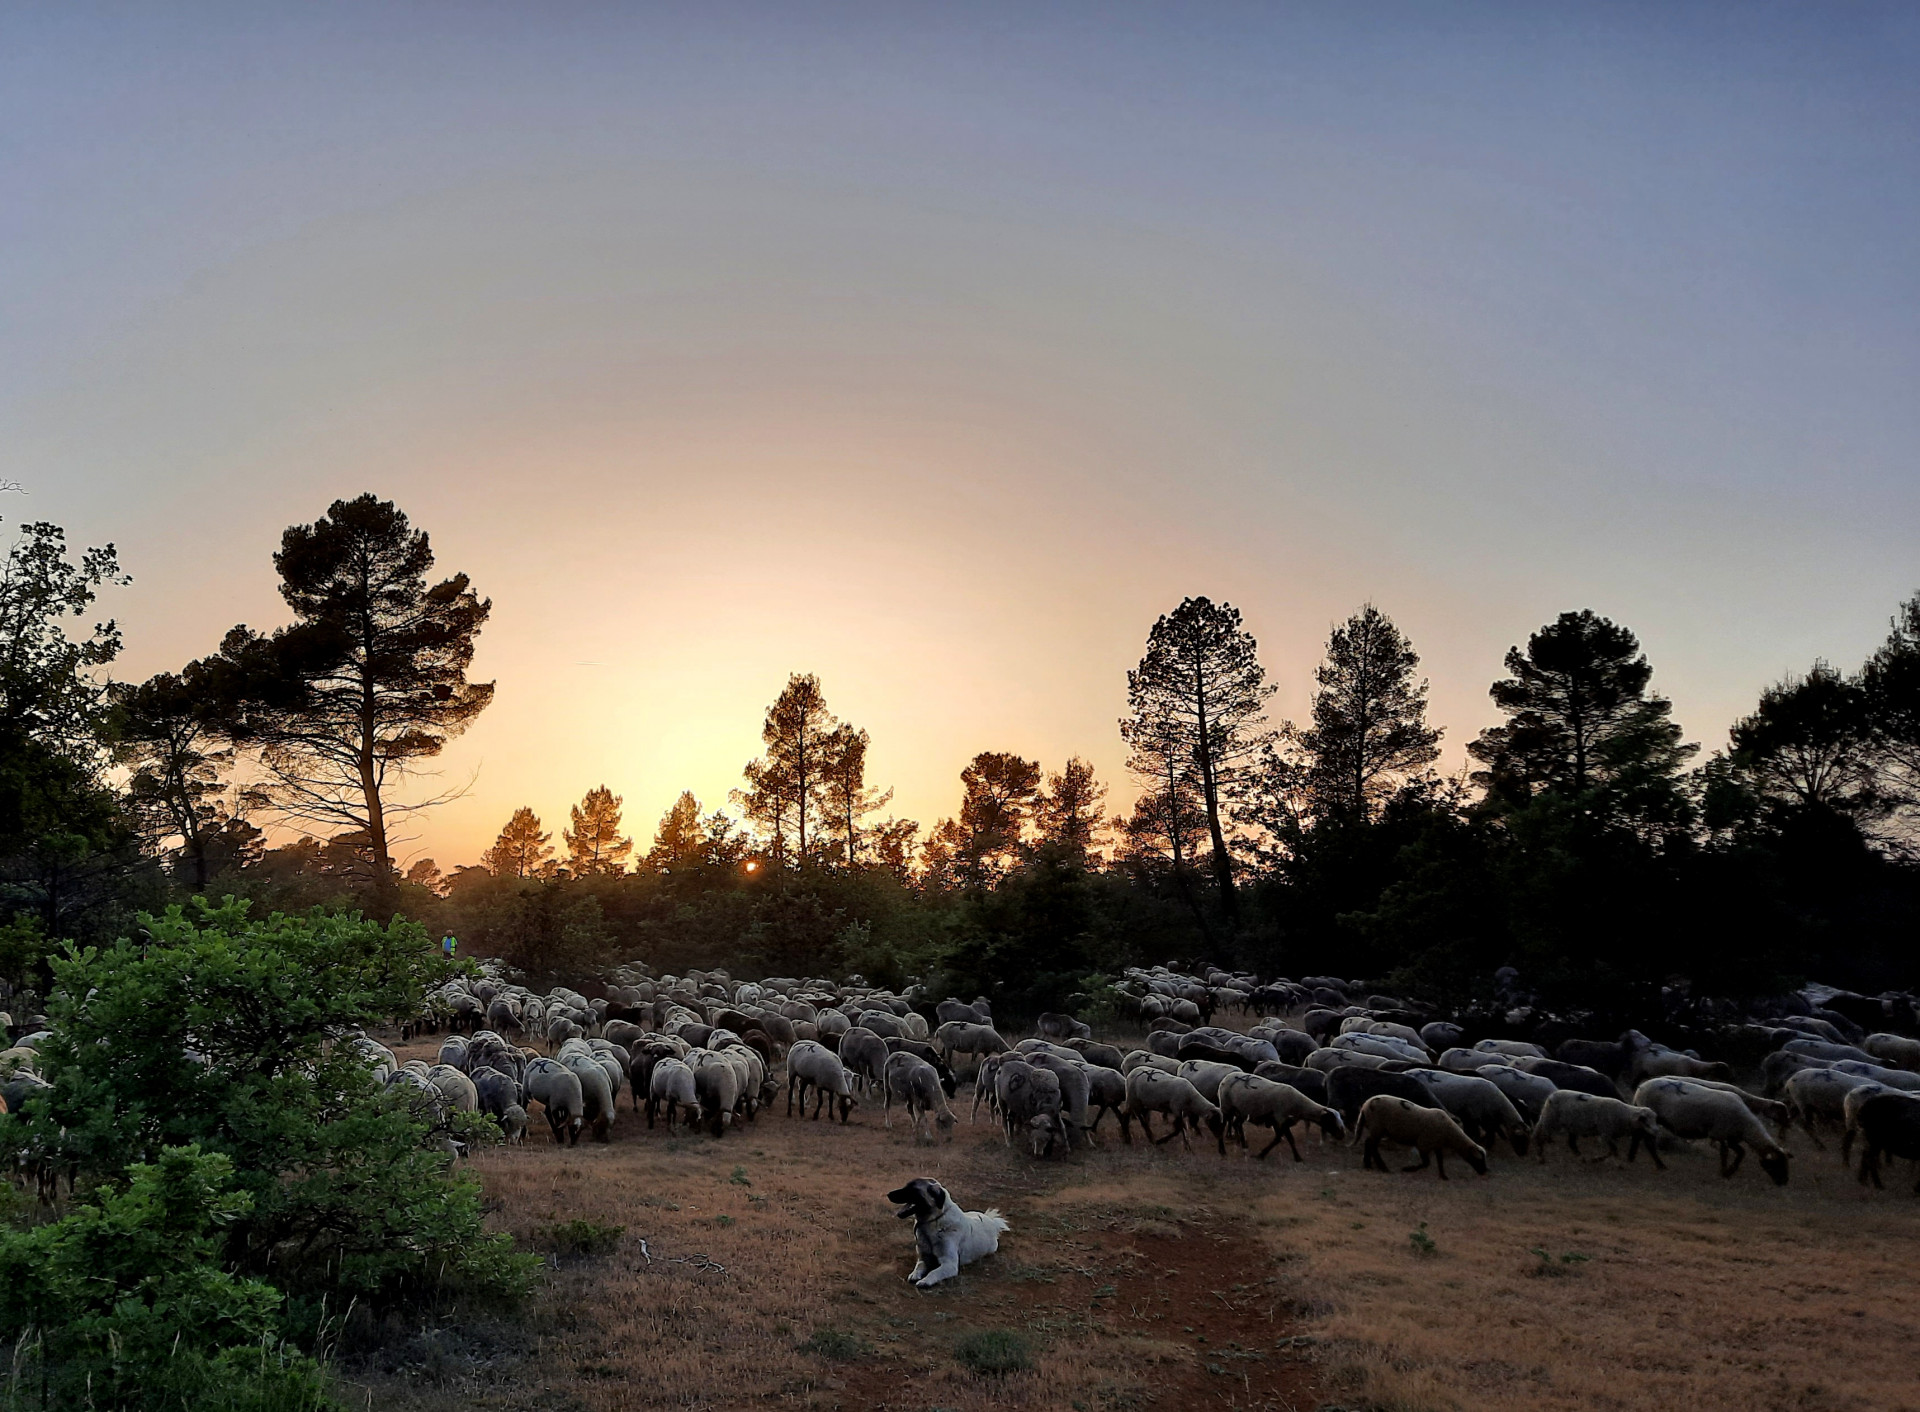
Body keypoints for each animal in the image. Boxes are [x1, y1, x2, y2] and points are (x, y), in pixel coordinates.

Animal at [883, 1175, 1013, 1283]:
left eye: (913, 1189)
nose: (888, 1194)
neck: (934, 1220)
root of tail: (991, 1221)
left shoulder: (949, 1264)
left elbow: (934, 1272)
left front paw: (925, 1281)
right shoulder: (923, 1257)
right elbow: (919, 1266)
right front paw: (915, 1274)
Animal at [1213, 1075, 1351, 1168]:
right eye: (1331, 1120)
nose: (1342, 1134)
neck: (1299, 1106)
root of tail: (1226, 1078)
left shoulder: (1282, 1121)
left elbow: (1288, 1139)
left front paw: (1297, 1158)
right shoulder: (1280, 1119)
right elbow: (1281, 1138)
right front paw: (1261, 1155)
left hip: (1241, 1110)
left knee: (1236, 1124)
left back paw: (1243, 1146)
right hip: (1226, 1107)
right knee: (1223, 1126)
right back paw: (1222, 1151)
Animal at [1351, 1091, 1482, 1183]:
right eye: (1478, 1159)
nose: (1484, 1171)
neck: (1449, 1133)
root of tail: (1365, 1106)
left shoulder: (1437, 1145)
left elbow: (1440, 1161)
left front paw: (1444, 1176)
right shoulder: (1423, 1144)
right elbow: (1426, 1163)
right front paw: (1408, 1169)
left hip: (1377, 1129)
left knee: (1368, 1143)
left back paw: (1368, 1165)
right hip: (1377, 1127)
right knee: (1372, 1145)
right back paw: (1383, 1168)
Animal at [1528, 1091, 1666, 1168]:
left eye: (1655, 1119)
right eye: (1645, 1120)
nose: (1656, 1131)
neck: (1624, 1115)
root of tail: (1551, 1096)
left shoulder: (1608, 1134)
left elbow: (1611, 1150)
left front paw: (1596, 1159)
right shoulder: (1606, 1132)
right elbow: (1614, 1150)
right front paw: (1618, 1164)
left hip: (1571, 1125)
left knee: (1571, 1143)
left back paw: (1581, 1158)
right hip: (1550, 1121)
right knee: (1540, 1137)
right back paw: (1540, 1157)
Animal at [1628, 1083, 1789, 1183]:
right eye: (1776, 1164)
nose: (1783, 1183)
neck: (1746, 1126)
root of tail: (1640, 1089)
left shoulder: (1731, 1137)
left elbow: (1741, 1153)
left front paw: (1730, 1171)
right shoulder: (1720, 1133)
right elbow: (1725, 1153)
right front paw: (1724, 1172)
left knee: (1636, 1136)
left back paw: (1631, 1158)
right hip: (1650, 1119)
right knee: (1648, 1143)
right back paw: (1660, 1165)